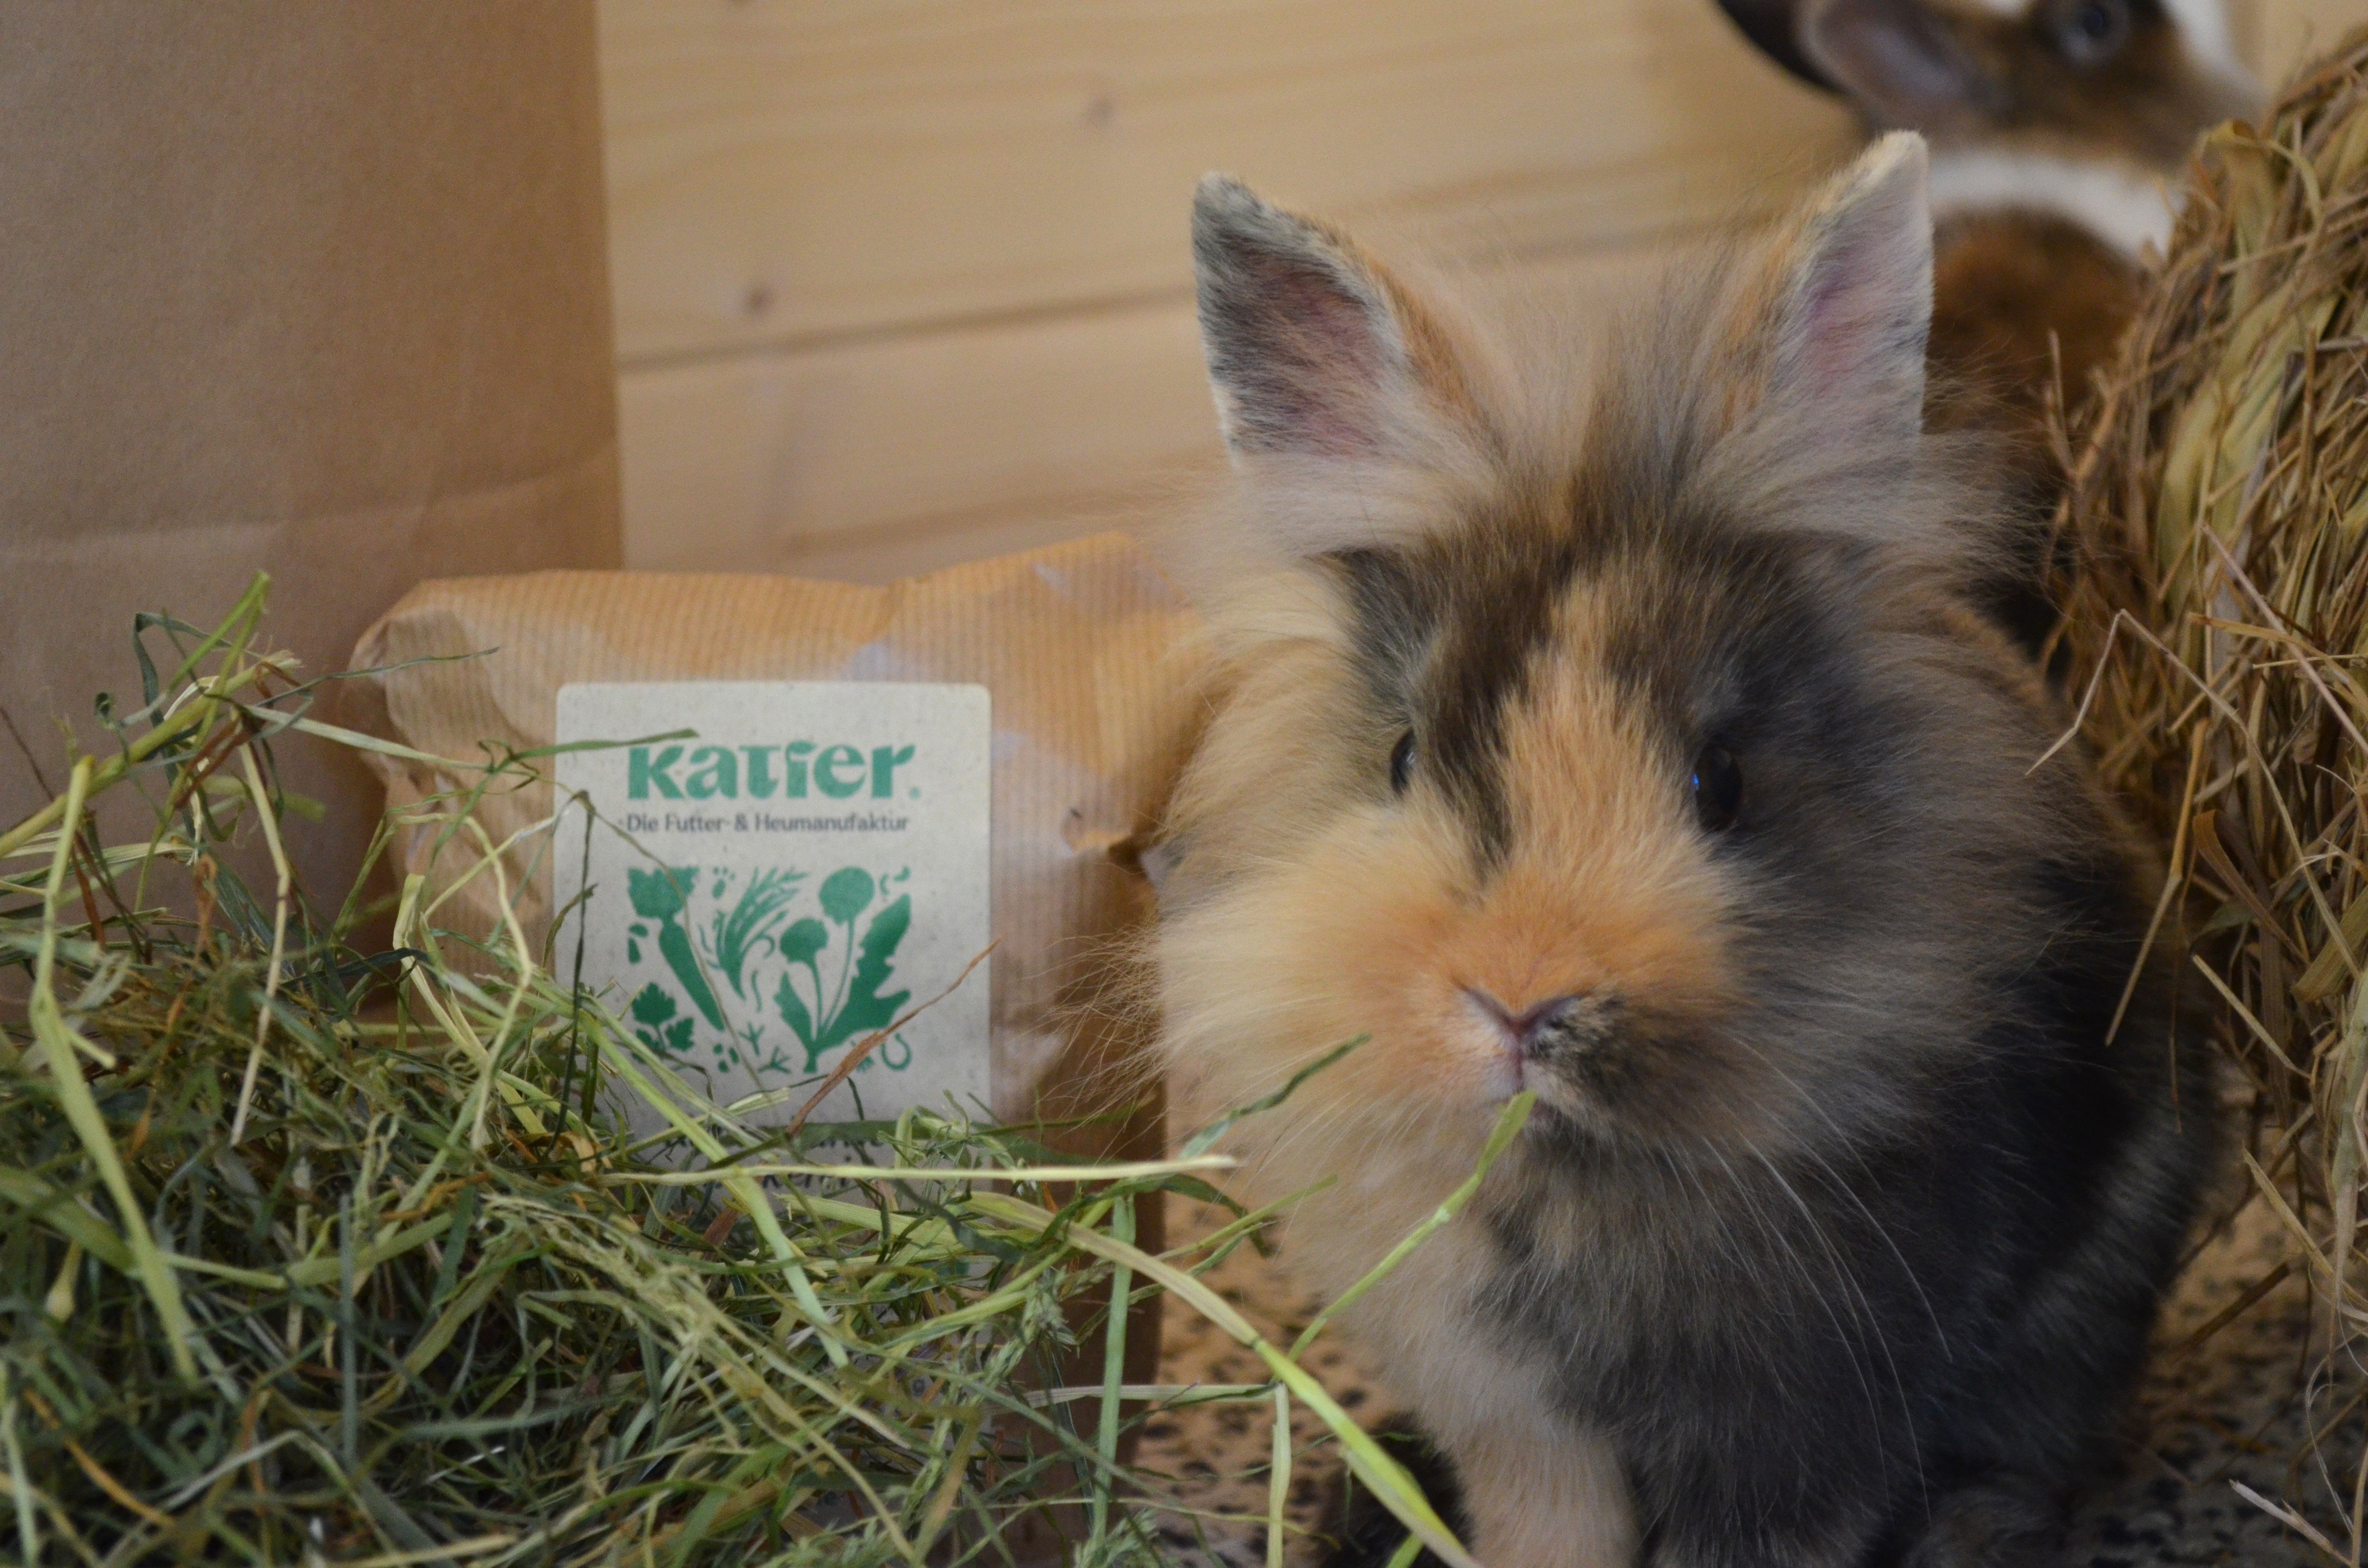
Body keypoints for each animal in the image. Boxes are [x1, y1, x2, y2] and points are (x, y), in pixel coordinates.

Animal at [1153, 134, 2212, 1568]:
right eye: (1404, 757)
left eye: (1725, 781)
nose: (1522, 1002)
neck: (1567, 1172)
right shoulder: (1515, 1420)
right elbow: (1547, 1527)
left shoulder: (1802, 1420)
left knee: (2036, 1449)